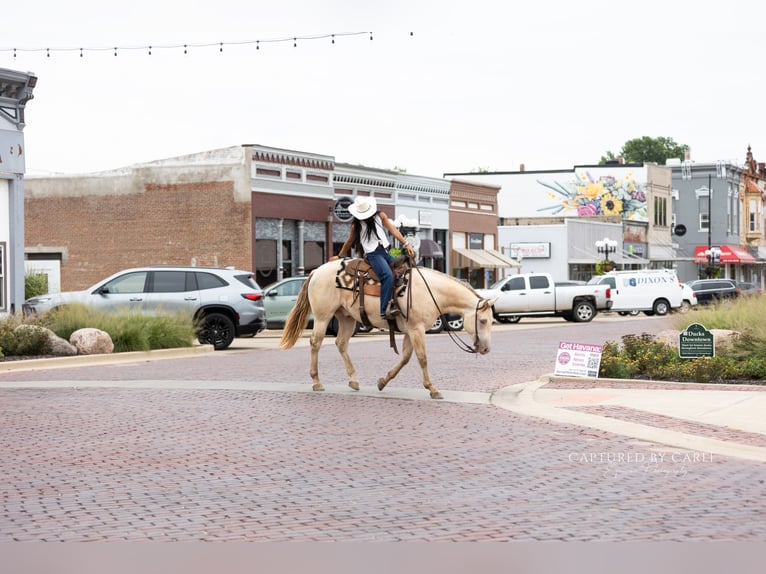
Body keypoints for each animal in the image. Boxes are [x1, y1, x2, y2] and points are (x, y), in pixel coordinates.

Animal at [279, 259, 496, 399]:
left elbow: (405, 358)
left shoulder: (410, 330)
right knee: (315, 342)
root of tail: (316, 271)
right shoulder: (417, 329)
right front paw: (432, 389)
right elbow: (422, 358)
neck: (431, 291)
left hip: (346, 317)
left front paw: (383, 381)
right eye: (483, 321)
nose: (486, 349)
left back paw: (354, 380)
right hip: (323, 316)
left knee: (341, 343)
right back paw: (317, 382)